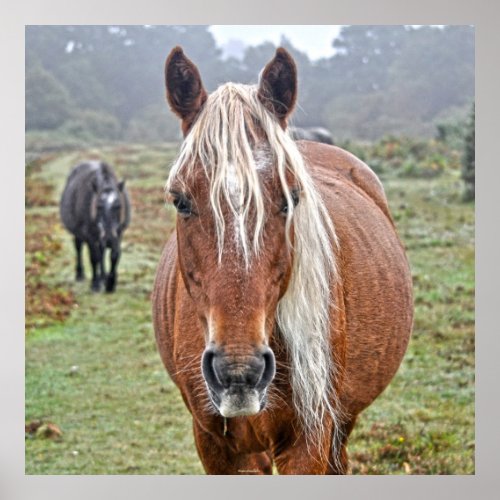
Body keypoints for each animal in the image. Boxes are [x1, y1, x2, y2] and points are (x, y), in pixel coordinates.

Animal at [59, 160, 130, 292]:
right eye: (98, 206)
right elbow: (94, 257)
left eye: (118, 205)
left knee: (102, 252)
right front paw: (95, 284)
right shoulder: (91, 236)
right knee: (79, 248)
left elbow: (114, 255)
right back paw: (80, 274)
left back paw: (103, 277)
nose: (108, 238)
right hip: (79, 234)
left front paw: (110, 283)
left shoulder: (118, 233)